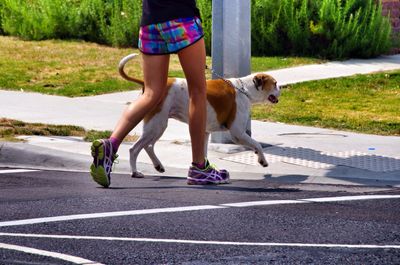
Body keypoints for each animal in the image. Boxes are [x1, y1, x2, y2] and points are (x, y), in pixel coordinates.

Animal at [119, 53, 282, 177]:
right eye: (274, 83)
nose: (280, 89)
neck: (245, 89)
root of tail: (147, 86)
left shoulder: (205, 132)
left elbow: (203, 153)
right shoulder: (237, 133)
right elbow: (257, 144)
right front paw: (262, 160)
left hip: (156, 126)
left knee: (148, 146)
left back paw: (158, 165)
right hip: (157, 125)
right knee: (135, 149)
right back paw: (135, 172)